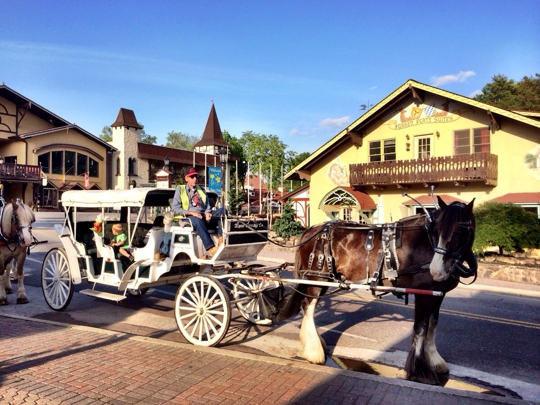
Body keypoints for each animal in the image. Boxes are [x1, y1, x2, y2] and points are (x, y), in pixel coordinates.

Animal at [292, 197, 476, 384]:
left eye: (459, 233)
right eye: (436, 231)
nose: (436, 271)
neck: (426, 242)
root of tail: (312, 230)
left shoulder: (438, 294)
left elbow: (432, 325)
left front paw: (434, 360)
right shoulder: (423, 294)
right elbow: (421, 329)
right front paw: (419, 370)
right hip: (317, 279)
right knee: (308, 306)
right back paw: (314, 351)